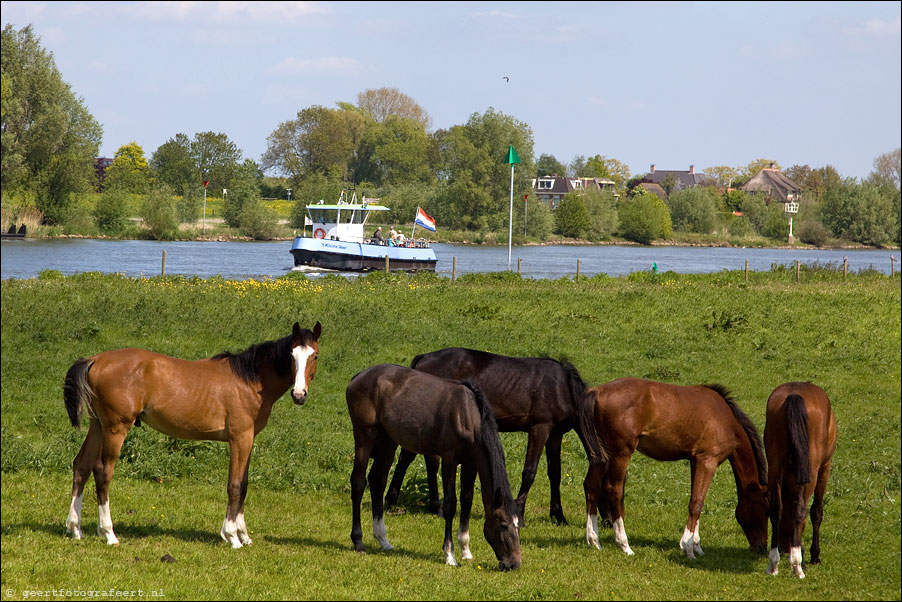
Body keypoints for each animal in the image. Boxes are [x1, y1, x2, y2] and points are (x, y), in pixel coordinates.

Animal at [61, 322, 322, 548]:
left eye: (315, 355)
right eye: (291, 355)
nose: (299, 394)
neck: (249, 380)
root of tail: (95, 360)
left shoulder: (249, 439)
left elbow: (245, 484)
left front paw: (244, 535)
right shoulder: (240, 439)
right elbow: (235, 485)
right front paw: (232, 536)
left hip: (98, 426)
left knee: (81, 466)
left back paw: (75, 528)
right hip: (116, 429)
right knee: (102, 472)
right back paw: (109, 533)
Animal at [350, 360, 528, 568]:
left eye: (518, 525)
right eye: (503, 524)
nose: (513, 564)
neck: (467, 416)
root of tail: (358, 377)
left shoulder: (471, 463)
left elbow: (467, 500)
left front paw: (465, 550)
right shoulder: (449, 460)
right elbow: (450, 504)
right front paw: (450, 555)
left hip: (388, 442)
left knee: (378, 482)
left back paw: (383, 539)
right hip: (364, 438)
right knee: (358, 482)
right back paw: (358, 541)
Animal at [384, 346, 608, 524]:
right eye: (606, 484)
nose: (608, 521)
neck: (562, 387)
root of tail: (424, 357)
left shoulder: (555, 435)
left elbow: (555, 473)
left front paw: (558, 516)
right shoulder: (540, 428)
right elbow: (530, 472)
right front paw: (519, 513)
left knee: (410, 457)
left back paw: (398, 502)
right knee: (425, 460)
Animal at [588, 378, 768, 556]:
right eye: (765, 508)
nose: (761, 548)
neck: (726, 420)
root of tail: (597, 391)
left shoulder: (696, 462)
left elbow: (697, 501)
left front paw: (696, 545)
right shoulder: (708, 462)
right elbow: (696, 503)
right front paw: (687, 547)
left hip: (601, 457)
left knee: (591, 488)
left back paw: (594, 540)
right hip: (621, 455)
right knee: (614, 491)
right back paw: (624, 545)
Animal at [768, 380, 844, 576]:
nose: (785, 548)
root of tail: (794, 395)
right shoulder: (824, 469)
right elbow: (816, 512)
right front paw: (813, 554)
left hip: (774, 466)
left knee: (776, 509)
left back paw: (773, 563)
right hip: (813, 471)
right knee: (801, 510)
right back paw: (796, 565)